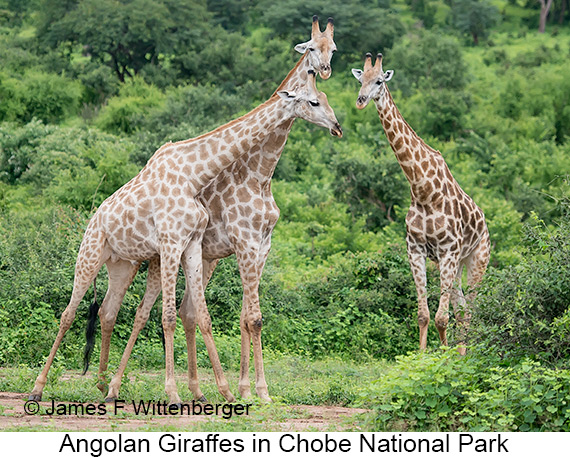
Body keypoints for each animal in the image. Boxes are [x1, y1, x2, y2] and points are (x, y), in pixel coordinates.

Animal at [28, 63, 340, 402]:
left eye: (326, 97)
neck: (193, 175)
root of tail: (93, 218)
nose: (337, 126)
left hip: (123, 265)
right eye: (314, 102)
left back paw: (106, 386)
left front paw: (226, 391)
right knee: (69, 314)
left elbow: (203, 316)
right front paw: (179, 394)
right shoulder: (176, 242)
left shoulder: (196, 245)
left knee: (109, 311)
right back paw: (39, 389)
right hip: (90, 255)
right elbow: (171, 317)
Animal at [96, 15, 338, 402]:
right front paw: (258, 391)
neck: (259, 172)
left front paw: (244, 389)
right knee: (129, 312)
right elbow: (253, 317)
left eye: (334, 48)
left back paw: (188, 388)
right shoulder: (244, 243)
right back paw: (112, 384)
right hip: (144, 260)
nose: (337, 126)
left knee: (181, 312)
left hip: (195, 259)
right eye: (312, 48)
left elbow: (244, 316)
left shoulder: (261, 246)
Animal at [350, 52, 488, 352]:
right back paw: (462, 353)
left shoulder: (448, 251)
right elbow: (424, 315)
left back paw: (466, 354)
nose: (361, 100)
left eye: (379, 81)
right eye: (360, 79)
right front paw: (422, 357)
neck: (422, 190)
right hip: (457, 265)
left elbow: (441, 318)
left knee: (471, 309)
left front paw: (442, 358)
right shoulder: (416, 250)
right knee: (462, 309)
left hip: (477, 259)